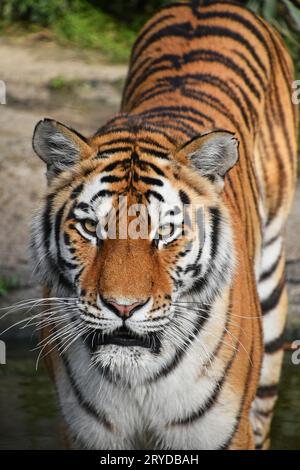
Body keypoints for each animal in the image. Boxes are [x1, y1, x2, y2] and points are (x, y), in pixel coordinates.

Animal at [29, 0, 298, 452]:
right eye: (90, 228)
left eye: (165, 233)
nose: (123, 308)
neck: (138, 378)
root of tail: (205, 5)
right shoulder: (83, 433)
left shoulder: (223, 432)